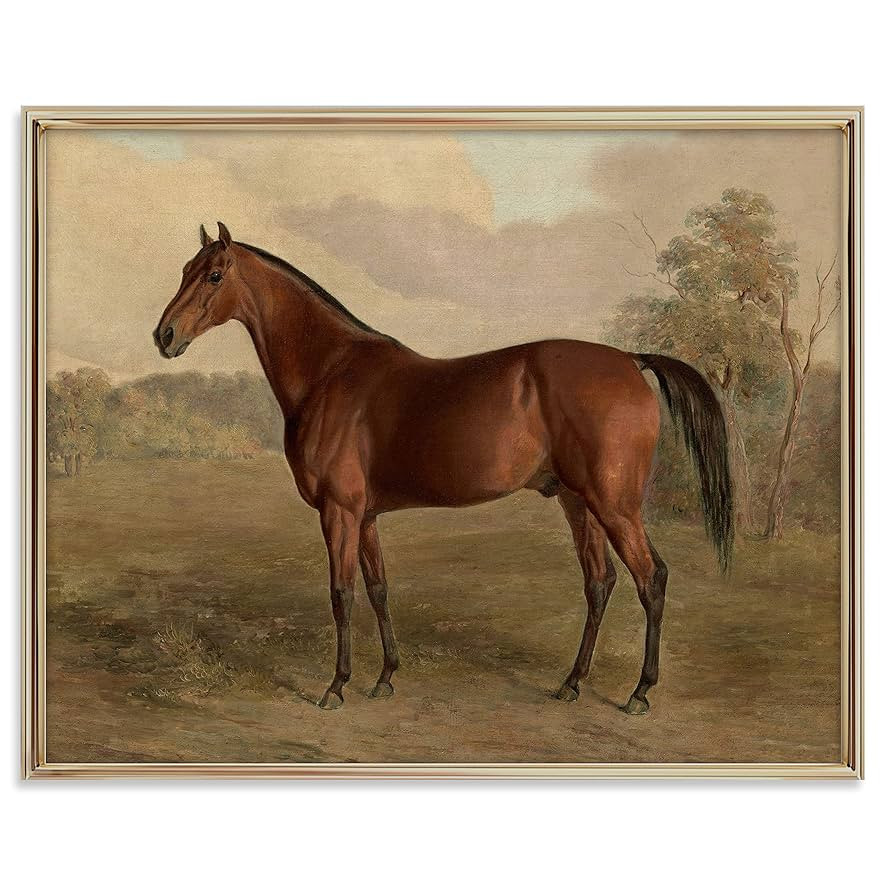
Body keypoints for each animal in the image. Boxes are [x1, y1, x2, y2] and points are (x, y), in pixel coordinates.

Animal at [154, 222, 733, 714]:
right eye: (184, 268)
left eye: (213, 275)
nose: (164, 336)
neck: (330, 372)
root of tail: (630, 360)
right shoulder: (365, 516)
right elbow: (378, 589)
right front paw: (385, 678)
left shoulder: (339, 512)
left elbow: (342, 594)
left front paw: (336, 687)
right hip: (578, 502)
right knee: (600, 582)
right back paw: (571, 683)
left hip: (615, 505)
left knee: (650, 578)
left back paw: (640, 692)